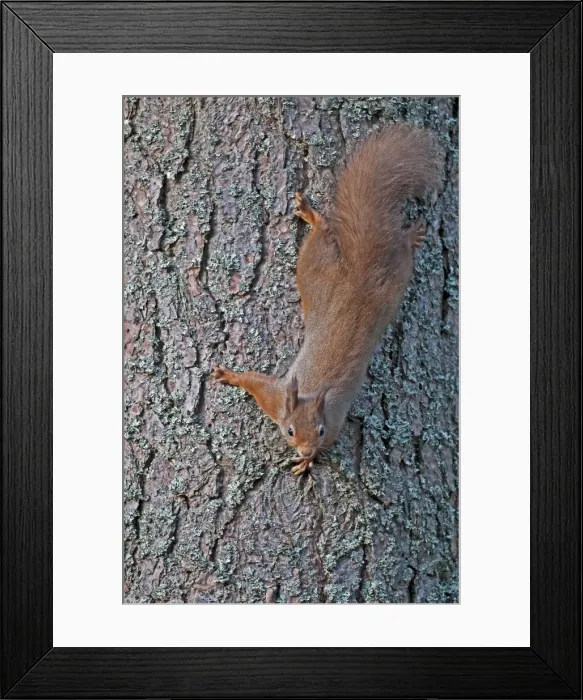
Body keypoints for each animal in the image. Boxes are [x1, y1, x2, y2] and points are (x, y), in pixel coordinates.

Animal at [212, 123, 442, 476]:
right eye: (290, 431)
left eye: (319, 431)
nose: (306, 447)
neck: (309, 397)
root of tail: (359, 276)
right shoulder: (277, 398)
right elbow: (255, 383)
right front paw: (230, 375)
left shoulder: (332, 422)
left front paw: (307, 460)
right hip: (328, 271)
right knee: (334, 236)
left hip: (377, 280)